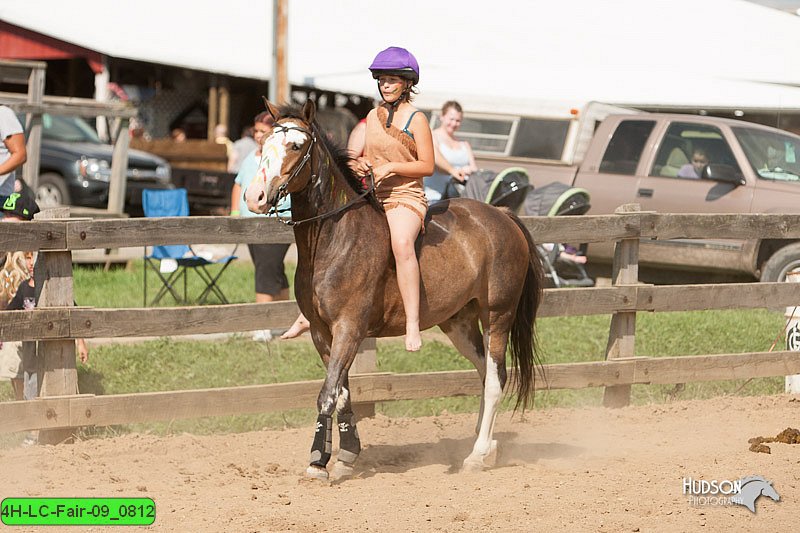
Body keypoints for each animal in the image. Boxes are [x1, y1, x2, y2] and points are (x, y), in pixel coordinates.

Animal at [244, 100, 544, 478]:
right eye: (263, 143)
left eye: (296, 146)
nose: (254, 197)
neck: (334, 238)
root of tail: (503, 216)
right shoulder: (321, 332)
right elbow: (342, 392)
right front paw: (347, 455)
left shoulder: (349, 328)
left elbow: (328, 393)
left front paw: (318, 460)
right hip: (458, 323)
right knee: (485, 372)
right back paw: (486, 444)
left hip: (498, 315)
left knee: (494, 380)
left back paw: (476, 456)